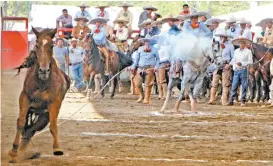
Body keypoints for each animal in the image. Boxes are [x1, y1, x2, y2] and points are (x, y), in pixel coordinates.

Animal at [8, 26, 69, 162]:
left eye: (52, 46)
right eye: (36, 45)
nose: (44, 71)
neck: (42, 83)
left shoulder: (54, 103)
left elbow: (53, 126)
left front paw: (57, 148)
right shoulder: (25, 98)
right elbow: (20, 122)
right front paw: (13, 151)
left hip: (44, 116)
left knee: (32, 130)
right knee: (28, 130)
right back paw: (19, 151)